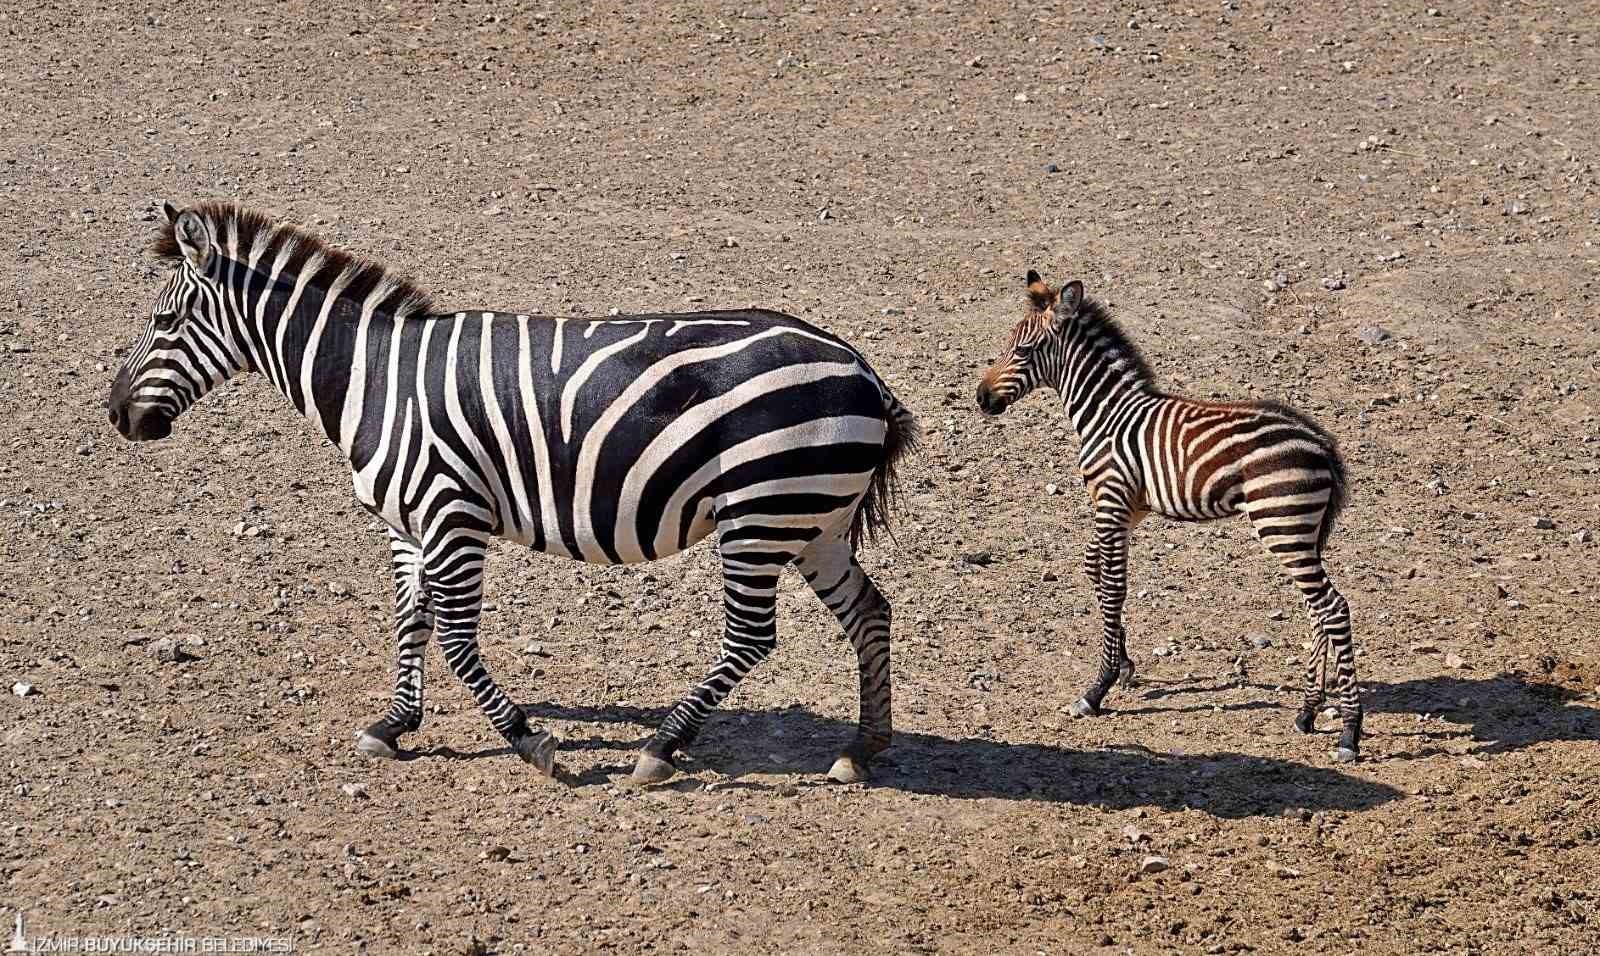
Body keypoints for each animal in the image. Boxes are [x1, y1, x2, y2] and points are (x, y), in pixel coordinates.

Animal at [106, 200, 921, 786]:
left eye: (163, 320)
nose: (116, 416)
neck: (373, 379)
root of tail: (862, 368)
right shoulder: (408, 524)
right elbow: (410, 622)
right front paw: (394, 725)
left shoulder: (450, 513)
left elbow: (458, 639)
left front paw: (531, 741)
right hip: (809, 518)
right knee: (869, 611)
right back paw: (863, 747)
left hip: (758, 511)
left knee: (752, 636)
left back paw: (662, 748)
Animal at [972, 271, 1363, 764]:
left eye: (1022, 351)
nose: (981, 398)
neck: (1106, 414)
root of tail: (1322, 442)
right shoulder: (1129, 509)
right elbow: (1094, 569)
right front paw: (1124, 665)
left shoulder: (1112, 500)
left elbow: (1113, 585)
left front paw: (1097, 689)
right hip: (1300, 530)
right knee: (1318, 609)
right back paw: (1308, 711)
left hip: (1282, 522)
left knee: (1333, 607)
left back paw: (1349, 731)